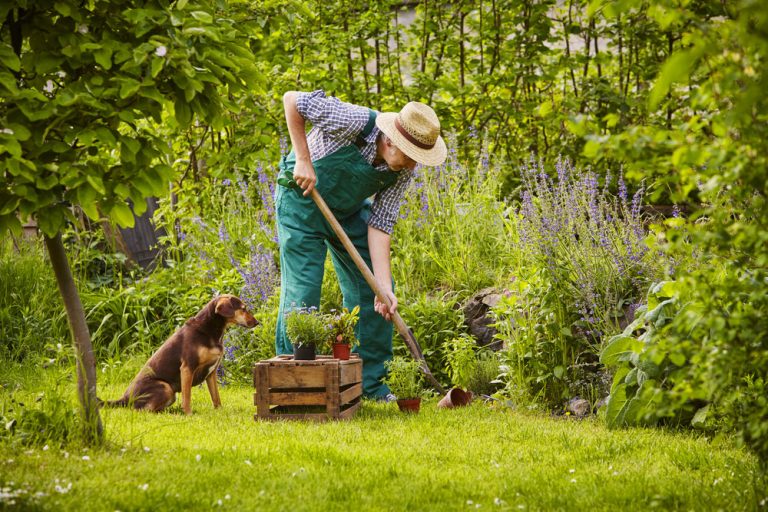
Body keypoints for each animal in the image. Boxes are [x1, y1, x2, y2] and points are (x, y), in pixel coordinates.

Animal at [105, 294, 258, 414]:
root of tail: (124, 398)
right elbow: (187, 396)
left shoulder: (211, 373)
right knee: (143, 410)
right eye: (243, 309)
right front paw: (188, 414)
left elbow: (216, 396)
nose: (257, 322)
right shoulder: (187, 368)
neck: (209, 330)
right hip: (165, 387)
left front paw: (219, 411)